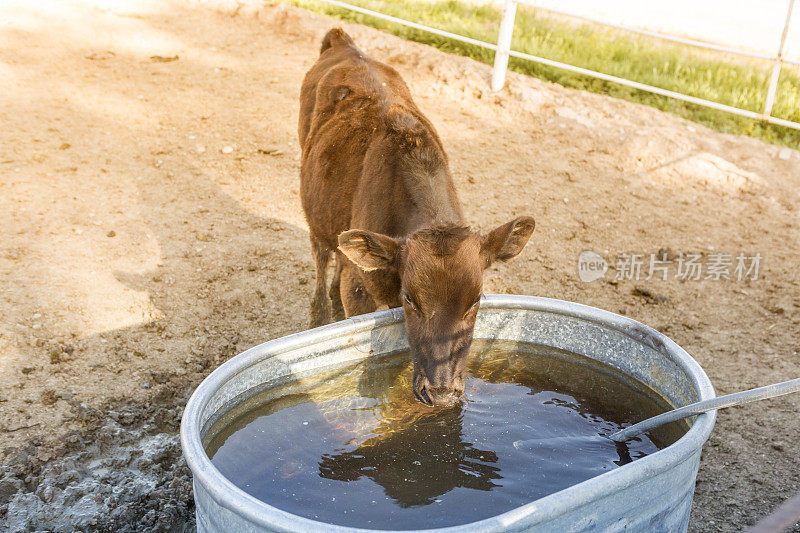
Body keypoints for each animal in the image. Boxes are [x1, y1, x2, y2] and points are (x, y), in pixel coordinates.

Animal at [296, 28, 536, 404]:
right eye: (410, 298)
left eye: (475, 300)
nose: (441, 393)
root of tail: (344, 43)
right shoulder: (361, 289)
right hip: (313, 210)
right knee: (322, 256)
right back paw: (321, 313)